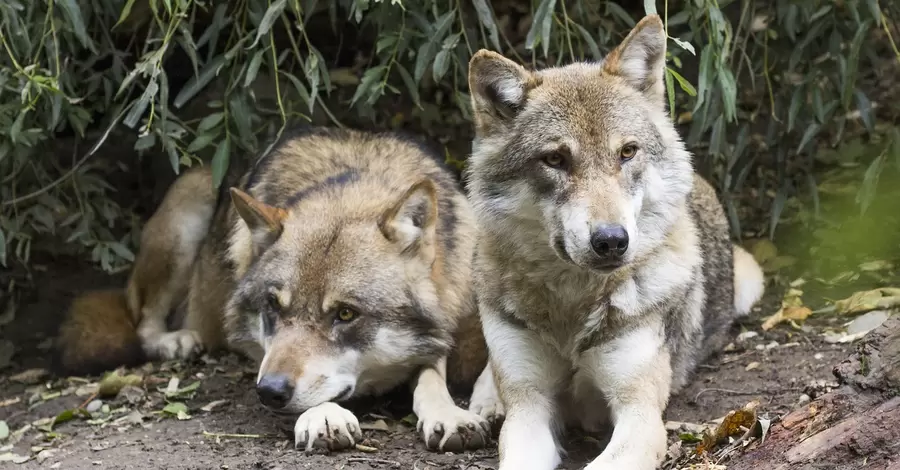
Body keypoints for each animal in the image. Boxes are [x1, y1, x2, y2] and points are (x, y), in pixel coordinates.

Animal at [53, 126, 496, 454]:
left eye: (345, 314)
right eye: (272, 307)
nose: (269, 392)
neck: (355, 181)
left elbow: (435, 372)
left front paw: (451, 413)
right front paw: (325, 415)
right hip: (189, 205)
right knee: (143, 319)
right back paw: (175, 341)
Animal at [464, 14, 768, 470]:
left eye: (627, 152)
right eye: (555, 159)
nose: (611, 241)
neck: (571, 307)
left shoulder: (638, 413)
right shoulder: (529, 408)